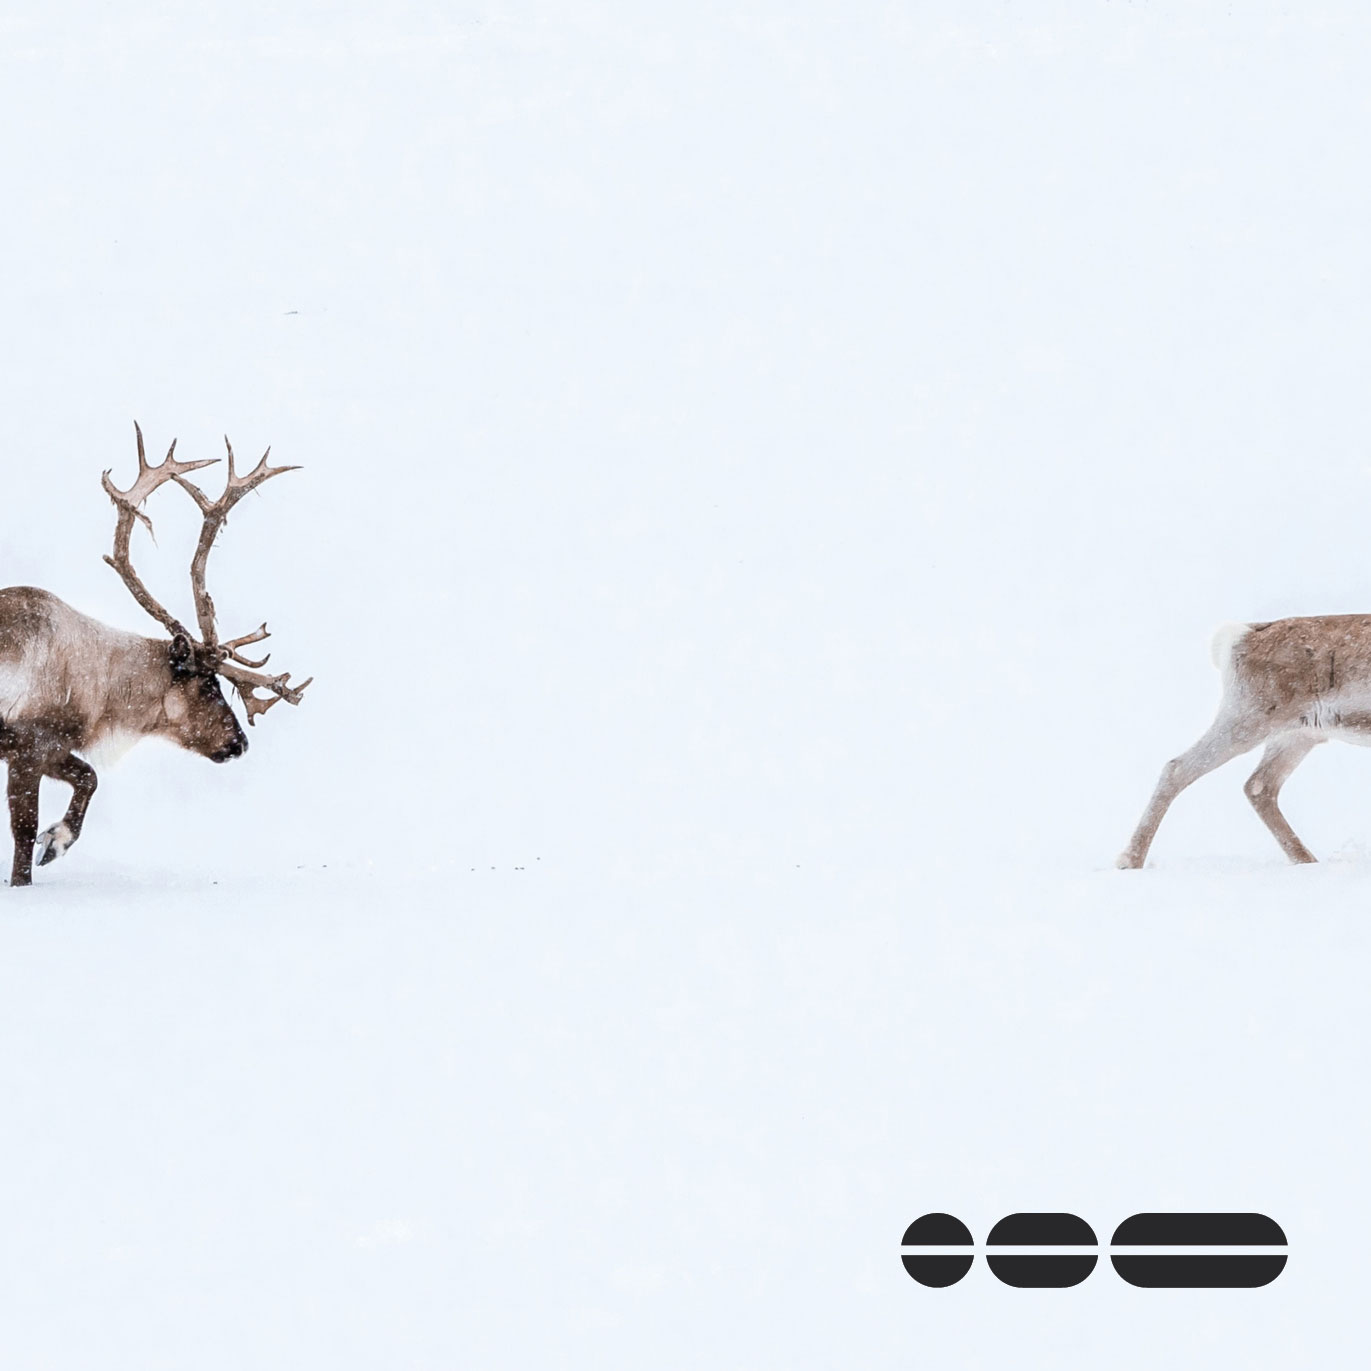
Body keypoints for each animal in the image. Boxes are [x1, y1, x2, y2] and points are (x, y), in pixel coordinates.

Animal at [0, 424, 310, 886]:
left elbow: (89, 778)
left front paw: (57, 841)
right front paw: (31, 871)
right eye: (208, 685)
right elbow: (23, 831)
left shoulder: (52, 748)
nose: (240, 743)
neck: (102, 685)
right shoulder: (28, 745)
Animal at [1117, 617, 1371, 868]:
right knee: (1178, 768)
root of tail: (1242, 635)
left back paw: (1306, 860)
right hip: (1248, 720)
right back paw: (1129, 860)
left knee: (1259, 785)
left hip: (1296, 735)